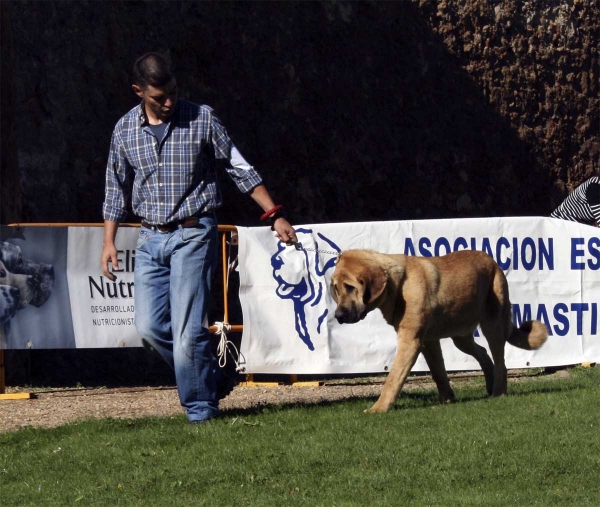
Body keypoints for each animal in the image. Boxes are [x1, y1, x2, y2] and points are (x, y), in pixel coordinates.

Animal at [330, 249, 552, 412]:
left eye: (350, 287)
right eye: (336, 289)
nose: (338, 316)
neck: (397, 286)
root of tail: (494, 262)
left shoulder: (410, 340)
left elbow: (393, 378)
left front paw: (379, 408)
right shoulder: (428, 341)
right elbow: (438, 371)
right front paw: (447, 399)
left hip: (493, 326)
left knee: (500, 363)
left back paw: (499, 392)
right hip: (461, 337)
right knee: (483, 354)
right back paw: (490, 386)